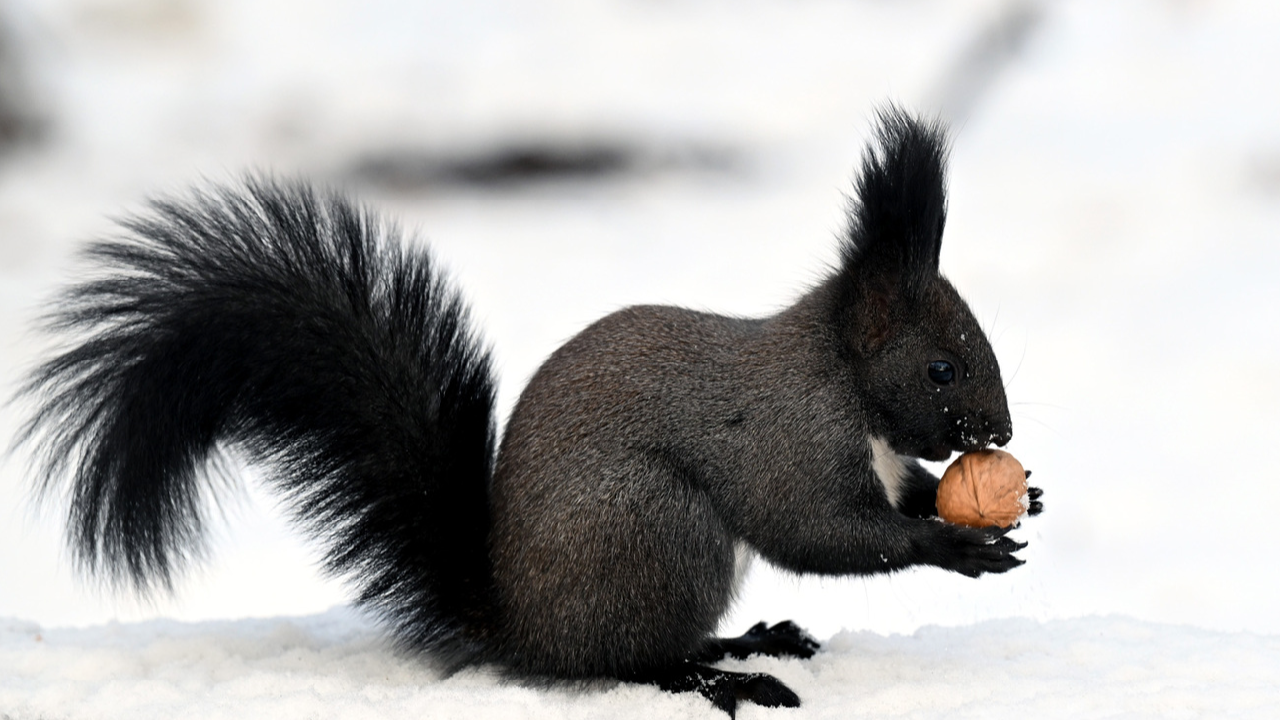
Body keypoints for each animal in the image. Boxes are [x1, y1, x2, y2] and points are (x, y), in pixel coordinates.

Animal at [17, 106, 1039, 712]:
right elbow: (817, 530)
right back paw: (720, 673)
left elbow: (895, 499)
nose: (1000, 435)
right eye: (943, 368)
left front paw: (1014, 502)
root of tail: (518, 625)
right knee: (628, 661)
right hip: (657, 527)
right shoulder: (790, 437)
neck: (845, 383)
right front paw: (956, 545)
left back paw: (752, 638)